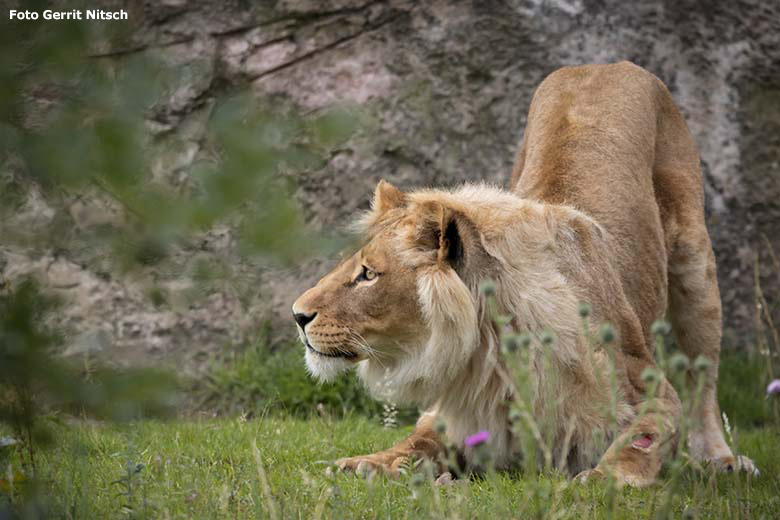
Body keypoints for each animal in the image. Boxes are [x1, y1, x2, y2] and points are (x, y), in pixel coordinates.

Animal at [290, 62, 756, 488]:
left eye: (368, 275)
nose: (297, 315)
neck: (487, 354)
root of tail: (602, 63)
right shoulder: (459, 416)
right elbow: (415, 444)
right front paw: (364, 465)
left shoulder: (649, 387)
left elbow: (642, 439)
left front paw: (599, 480)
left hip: (696, 264)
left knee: (703, 381)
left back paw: (720, 460)